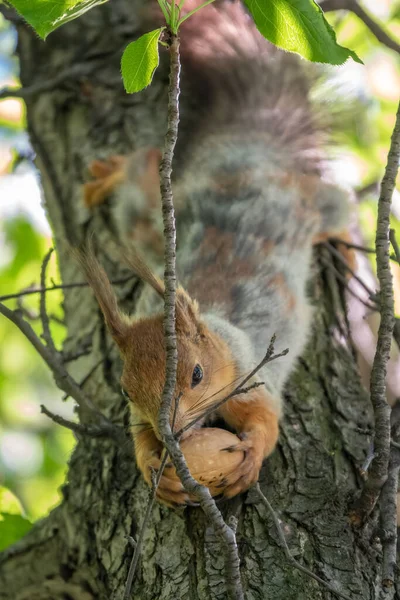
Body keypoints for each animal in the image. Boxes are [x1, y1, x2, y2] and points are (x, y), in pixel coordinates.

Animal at [77, 0, 350, 506]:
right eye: (125, 391)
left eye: (198, 375)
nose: (173, 435)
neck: (219, 333)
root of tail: (245, 155)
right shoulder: (140, 418)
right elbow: (139, 438)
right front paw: (153, 464)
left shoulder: (251, 378)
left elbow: (266, 420)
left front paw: (251, 456)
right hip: (152, 216)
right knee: (145, 170)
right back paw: (116, 172)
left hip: (311, 206)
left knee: (341, 202)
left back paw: (347, 242)